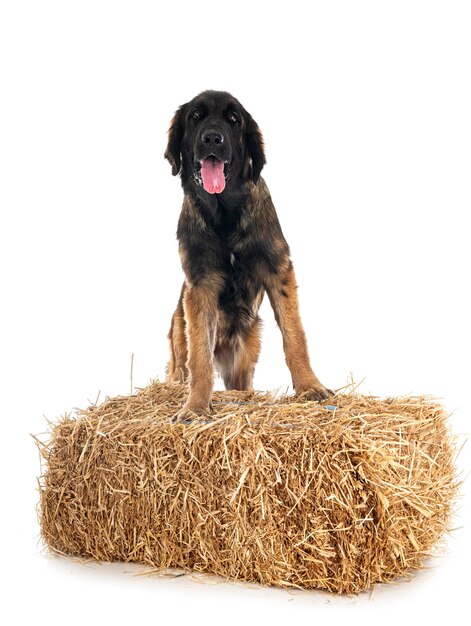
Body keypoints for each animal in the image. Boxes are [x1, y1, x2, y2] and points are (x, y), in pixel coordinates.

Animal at [164, 89, 334, 420]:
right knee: (182, 369)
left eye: (233, 119)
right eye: (195, 117)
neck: (224, 214)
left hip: (244, 354)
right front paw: (195, 406)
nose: (212, 138)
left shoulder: (278, 269)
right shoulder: (200, 285)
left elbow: (295, 337)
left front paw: (310, 387)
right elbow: (200, 357)